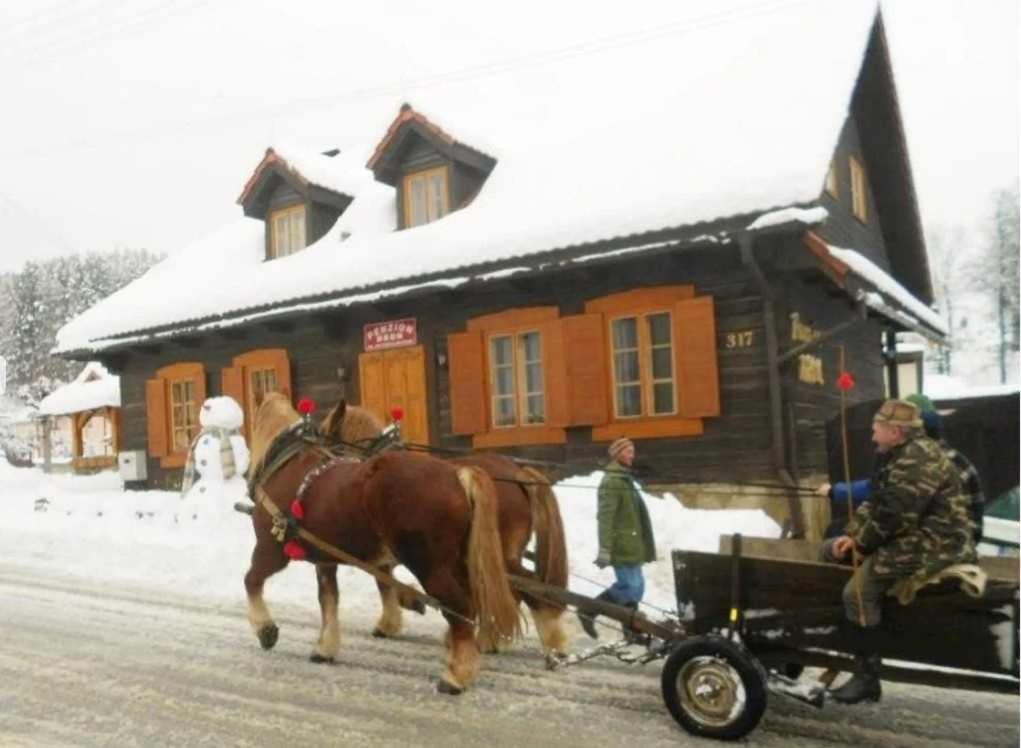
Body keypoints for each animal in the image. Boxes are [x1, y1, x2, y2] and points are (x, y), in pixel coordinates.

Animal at [245, 393, 518, 689]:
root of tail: (457, 475)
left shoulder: (271, 550)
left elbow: (252, 581)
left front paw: (265, 629)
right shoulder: (327, 560)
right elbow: (329, 599)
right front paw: (325, 647)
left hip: (428, 564)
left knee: (458, 607)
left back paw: (456, 676)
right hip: (458, 562)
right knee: (469, 606)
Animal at [320, 395, 571, 653]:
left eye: (324, 434)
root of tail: (518, 474)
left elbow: (384, 581)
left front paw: (396, 616)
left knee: (525, 588)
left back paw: (547, 642)